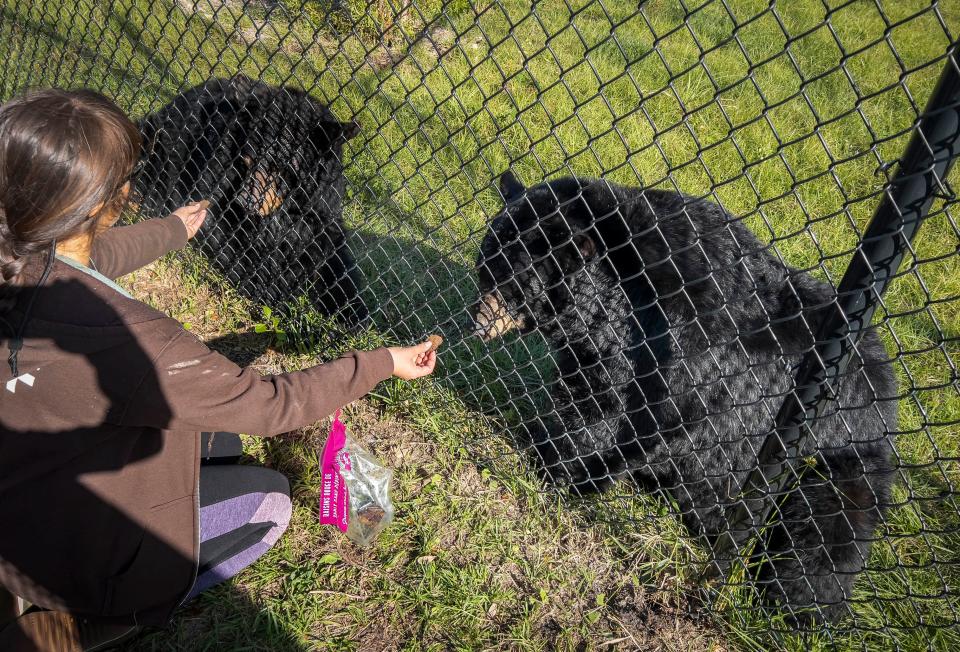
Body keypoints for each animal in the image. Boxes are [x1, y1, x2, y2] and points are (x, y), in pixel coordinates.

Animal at [129, 76, 366, 326]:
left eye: (282, 169)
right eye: (247, 159)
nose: (244, 201)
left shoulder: (320, 215)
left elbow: (329, 256)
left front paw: (351, 313)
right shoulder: (215, 174)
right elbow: (231, 242)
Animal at [472, 171, 900, 624]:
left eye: (511, 284)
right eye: (484, 268)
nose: (476, 322)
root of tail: (888, 413)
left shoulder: (692, 365)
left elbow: (647, 428)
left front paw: (574, 481)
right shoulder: (600, 352)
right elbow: (588, 404)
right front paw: (548, 454)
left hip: (838, 458)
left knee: (821, 537)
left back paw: (790, 602)